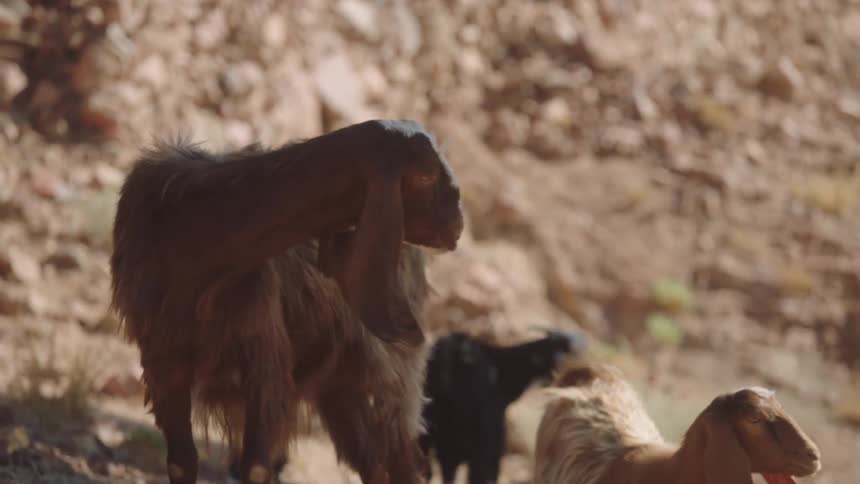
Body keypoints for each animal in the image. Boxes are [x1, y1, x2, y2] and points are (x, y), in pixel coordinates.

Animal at [109, 119, 464, 484]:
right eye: (425, 174)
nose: (456, 222)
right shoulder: (163, 359)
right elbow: (180, 463)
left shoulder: (264, 356)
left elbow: (255, 466)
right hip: (340, 387)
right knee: (376, 465)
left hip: (388, 372)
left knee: (405, 462)